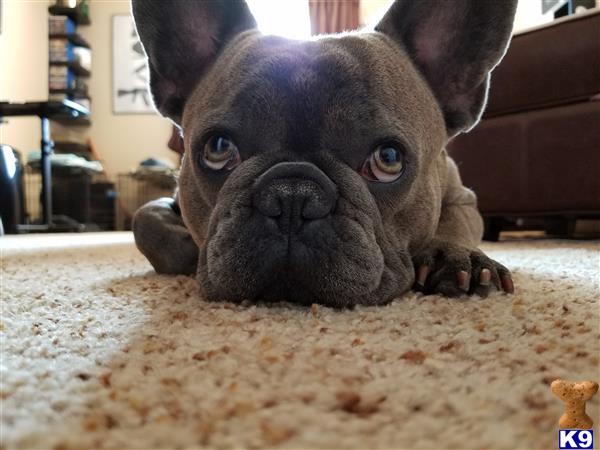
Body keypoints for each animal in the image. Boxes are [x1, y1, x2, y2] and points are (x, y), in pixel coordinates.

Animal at [130, 0, 516, 308]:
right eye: (218, 149)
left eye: (388, 159)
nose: (292, 196)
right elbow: (145, 221)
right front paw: (190, 248)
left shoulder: (462, 197)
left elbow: (456, 222)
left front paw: (454, 256)